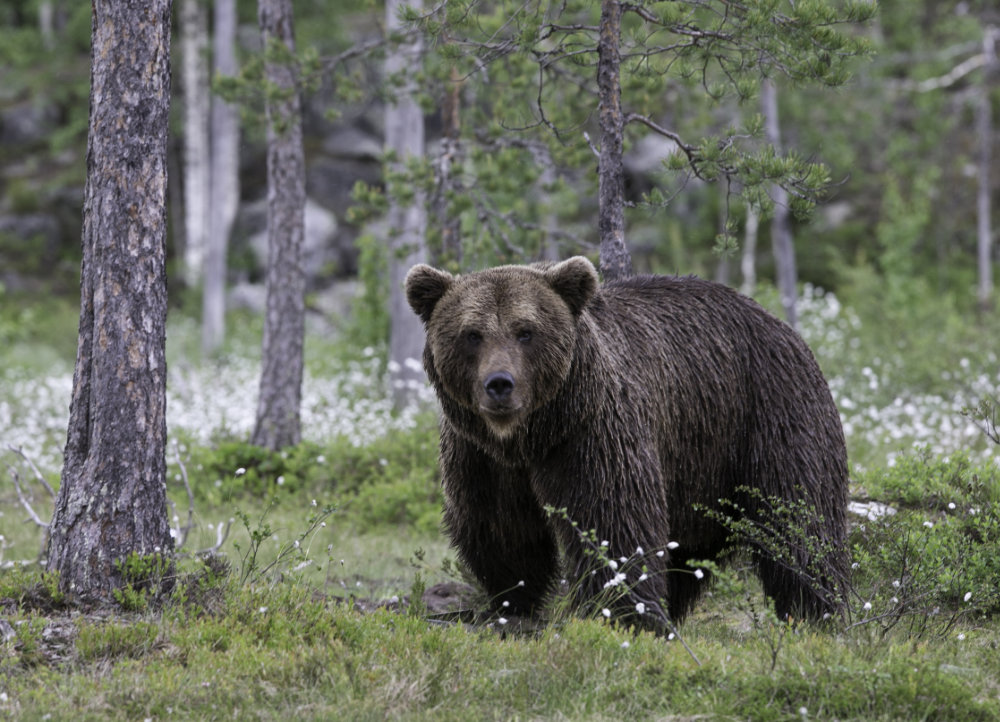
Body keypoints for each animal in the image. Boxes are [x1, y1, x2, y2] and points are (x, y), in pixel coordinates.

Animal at [406, 256, 852, 628]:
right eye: (472, 334)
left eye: (525, 331)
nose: (500, 384)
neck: (529, 438)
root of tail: (780, 323)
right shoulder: (479, 456)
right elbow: (501, 530)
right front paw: (512, 603)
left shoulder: (590, 435)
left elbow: (611, 519)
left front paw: (622, 614)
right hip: (698, 465)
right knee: (688, 550)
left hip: (770, 414)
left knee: (799, 523)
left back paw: (815, 612)